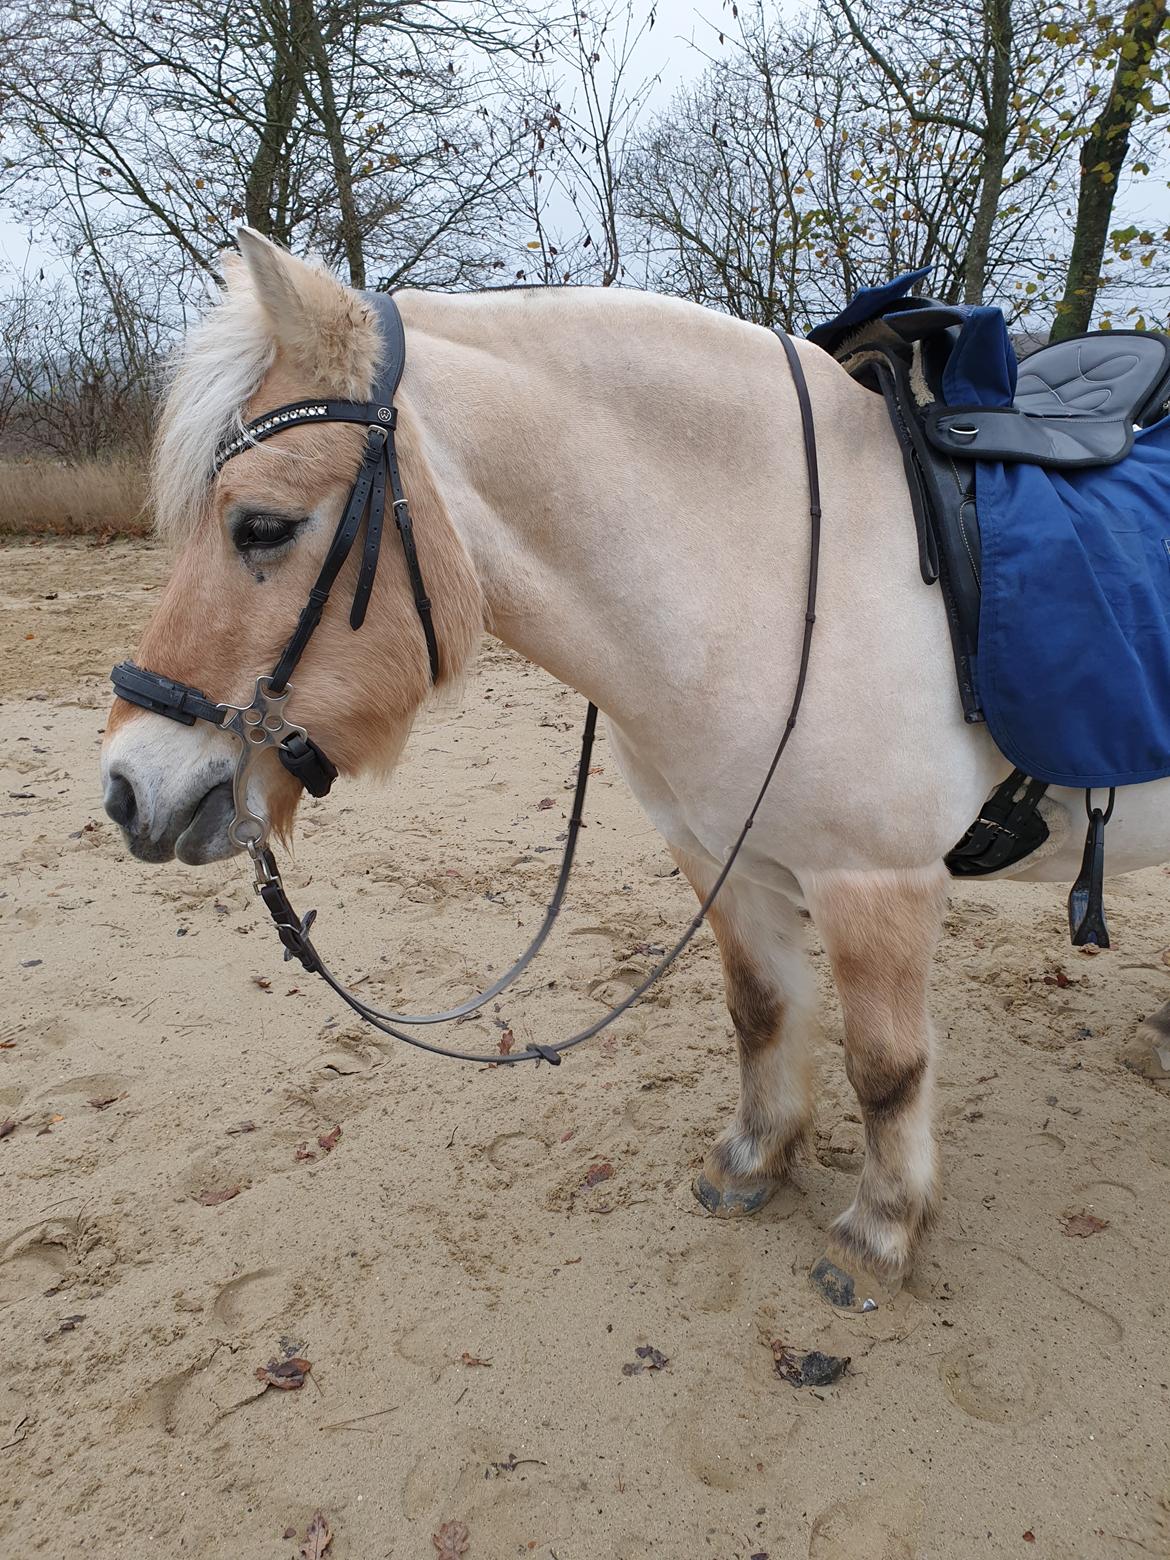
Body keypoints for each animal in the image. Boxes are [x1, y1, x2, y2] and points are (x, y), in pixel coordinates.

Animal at [98, 227, 1170, 1304]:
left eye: (262, 527)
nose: (125, 788)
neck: (784, 574)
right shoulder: (721, 857)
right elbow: (760, 1010)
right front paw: (753, 1162)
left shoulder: (875, 882)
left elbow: (885, 1066)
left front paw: (881, 1232)